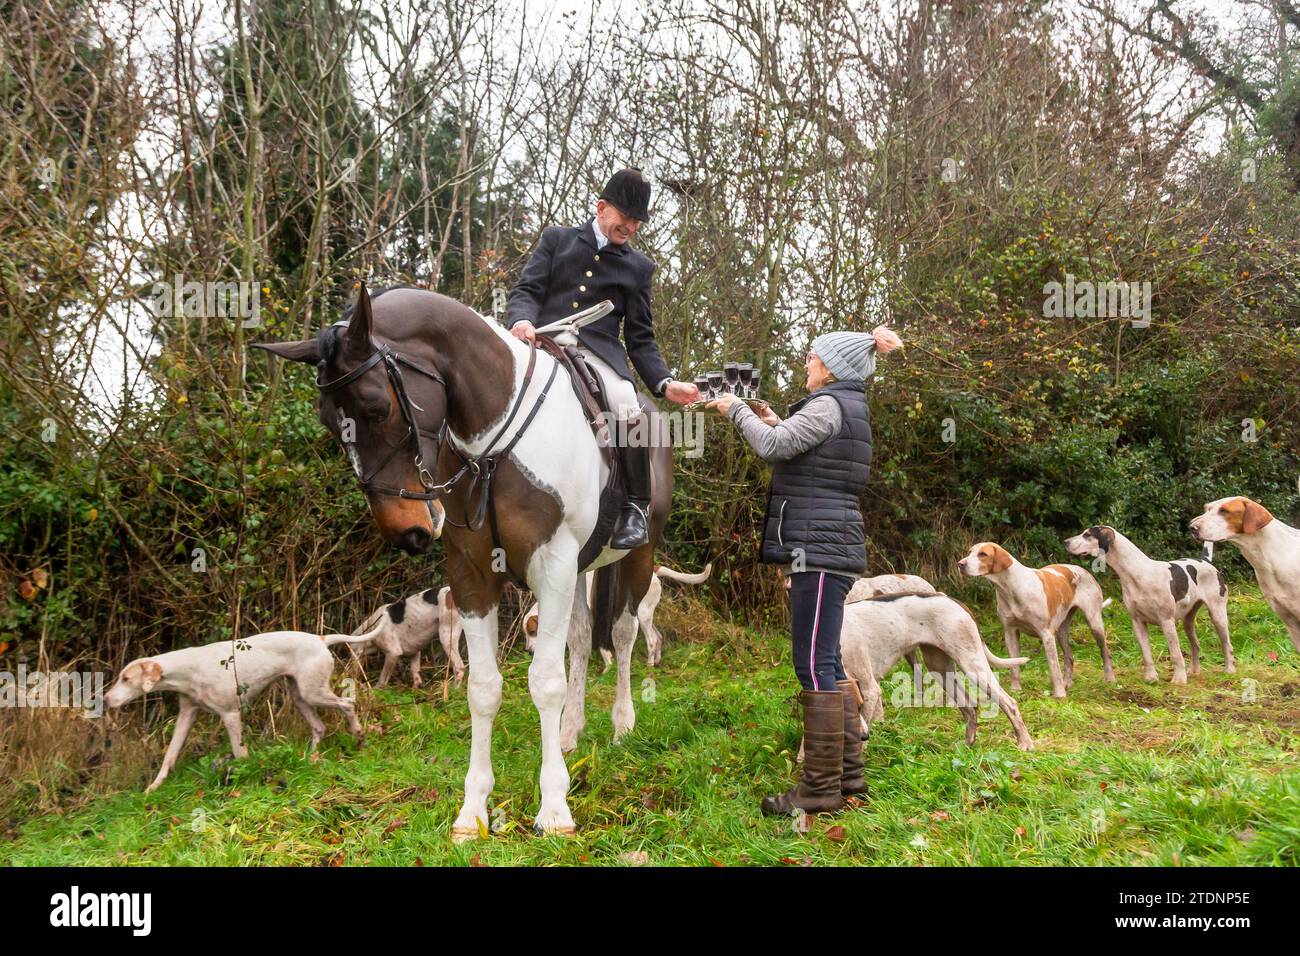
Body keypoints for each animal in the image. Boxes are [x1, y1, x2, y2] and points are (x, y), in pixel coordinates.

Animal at [258, 282, 676, 837]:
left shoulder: (553, 564)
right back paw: (570, 732)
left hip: (637, 554)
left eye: (375, 407)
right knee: (585, 641)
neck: (494, 446)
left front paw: (554, 809)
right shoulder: (474, 574)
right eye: (329, 421)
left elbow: (544, 681)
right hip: (582, 569)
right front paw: (472, 810)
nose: (406, 531)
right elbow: (483, 687)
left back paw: (622, 725)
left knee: (626, 636)